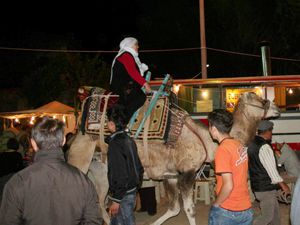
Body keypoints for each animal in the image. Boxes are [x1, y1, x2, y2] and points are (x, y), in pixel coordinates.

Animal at [67, 91, 280, 225]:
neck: (207, 140)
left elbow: (174, 209)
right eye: (259, 98)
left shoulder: (171, 175)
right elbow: (189, 209)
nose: (276, 108)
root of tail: (75, 136)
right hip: (82, 161)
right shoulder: (187, 172)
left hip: (100, 170)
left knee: (101, 202)